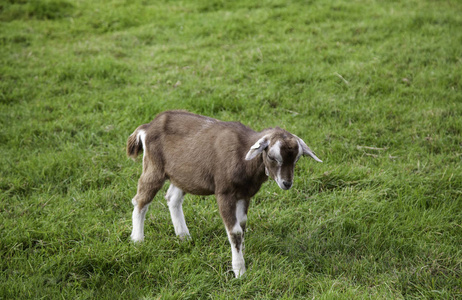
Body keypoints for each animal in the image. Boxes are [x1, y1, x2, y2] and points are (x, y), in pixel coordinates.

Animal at [126, 109, 322, 276]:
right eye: (272, 157)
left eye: (297, 159)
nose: (286, 183)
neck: (243, 156)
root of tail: (147, 127)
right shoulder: (225, 193)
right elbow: (234, 231)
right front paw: (240, 271)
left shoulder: (244, 194)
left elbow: (242, 225)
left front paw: (242, 251)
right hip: (154, 167)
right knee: (140, 200)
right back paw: (137, 240)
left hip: (182, 174)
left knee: (172, 198)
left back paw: (184, 236)